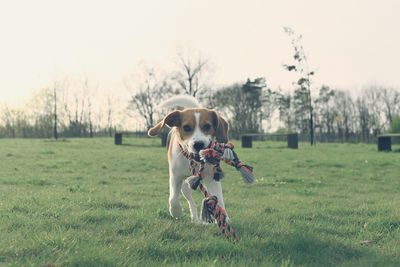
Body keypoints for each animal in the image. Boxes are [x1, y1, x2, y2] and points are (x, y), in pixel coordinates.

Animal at [147, 96, 228, 224]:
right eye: (186, 128)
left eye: (207, 126)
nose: (198, 144)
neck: (195, 162)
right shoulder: (176, 176)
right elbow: (173, 199)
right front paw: (176, 212)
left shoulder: (212, 178)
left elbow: (219, 199)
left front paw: (223, 218)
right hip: (185, 186)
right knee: (191, 202)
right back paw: (195, 219)